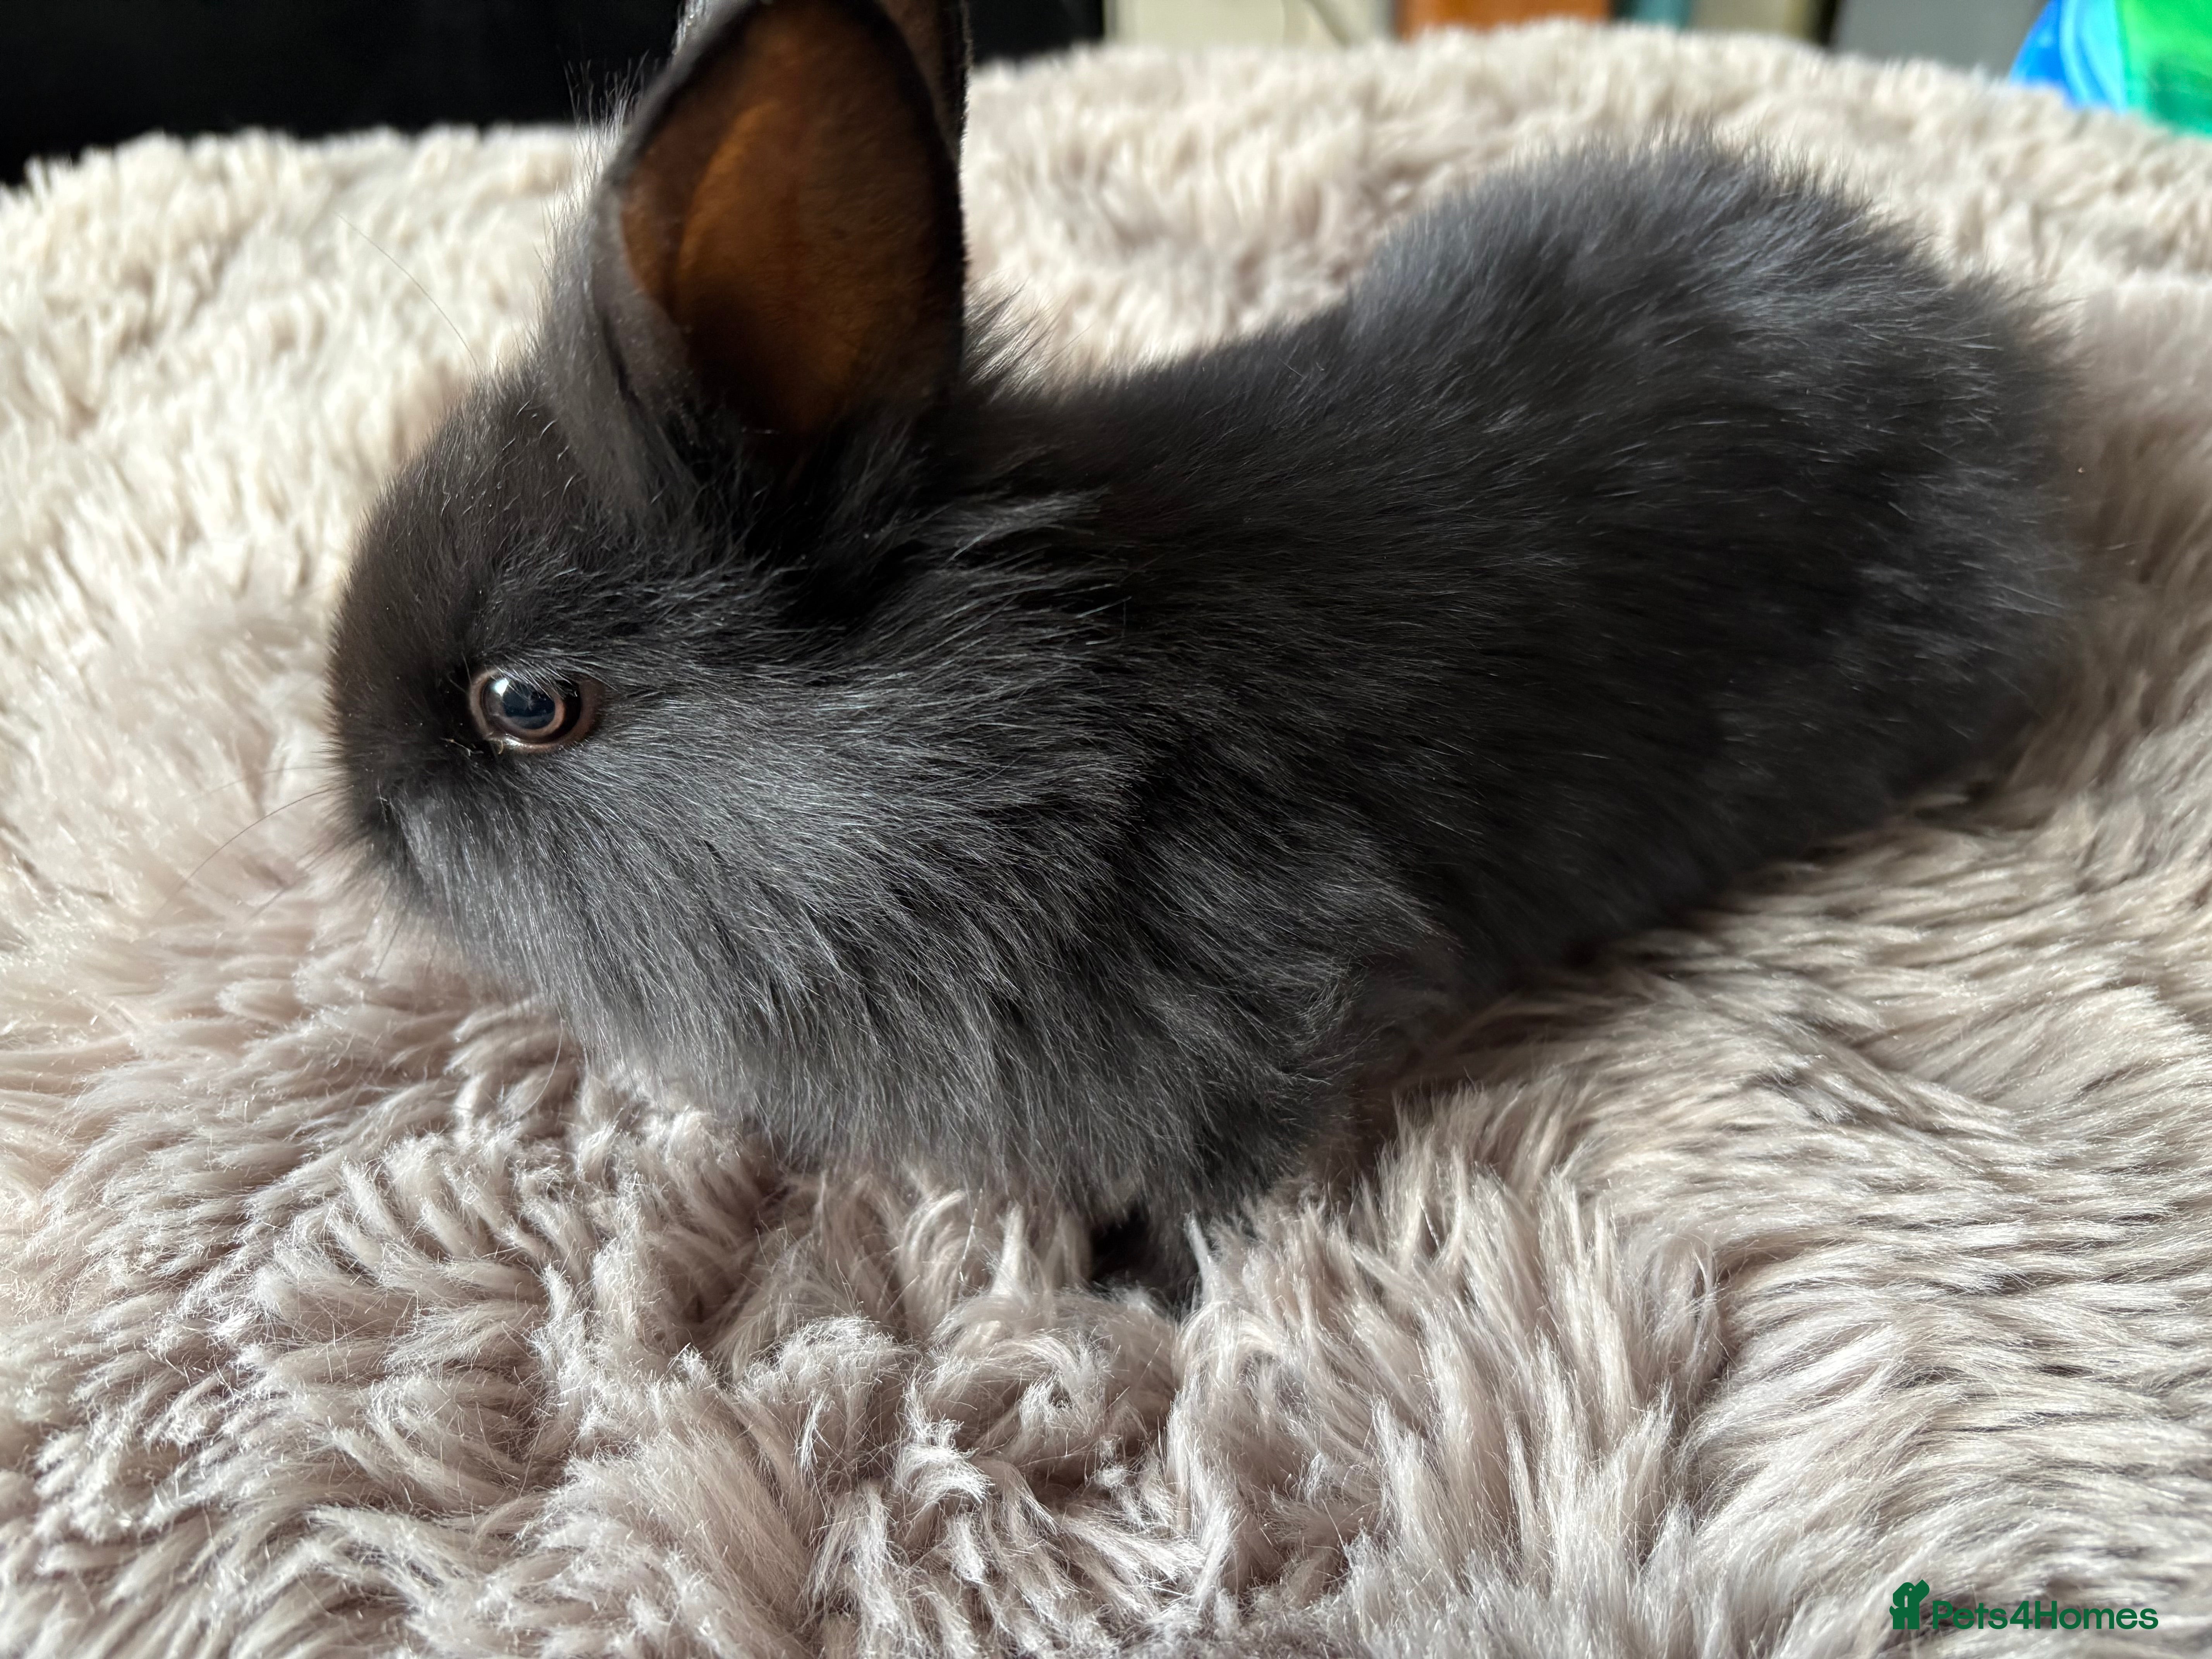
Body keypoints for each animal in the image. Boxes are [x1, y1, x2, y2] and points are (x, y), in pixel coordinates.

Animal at [328, 0, 2067, 1292]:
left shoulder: (1287, 984)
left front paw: (1119, 1283)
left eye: (527, 705)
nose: (359, 808)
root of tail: (1987, 353)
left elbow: (1217, 1155)